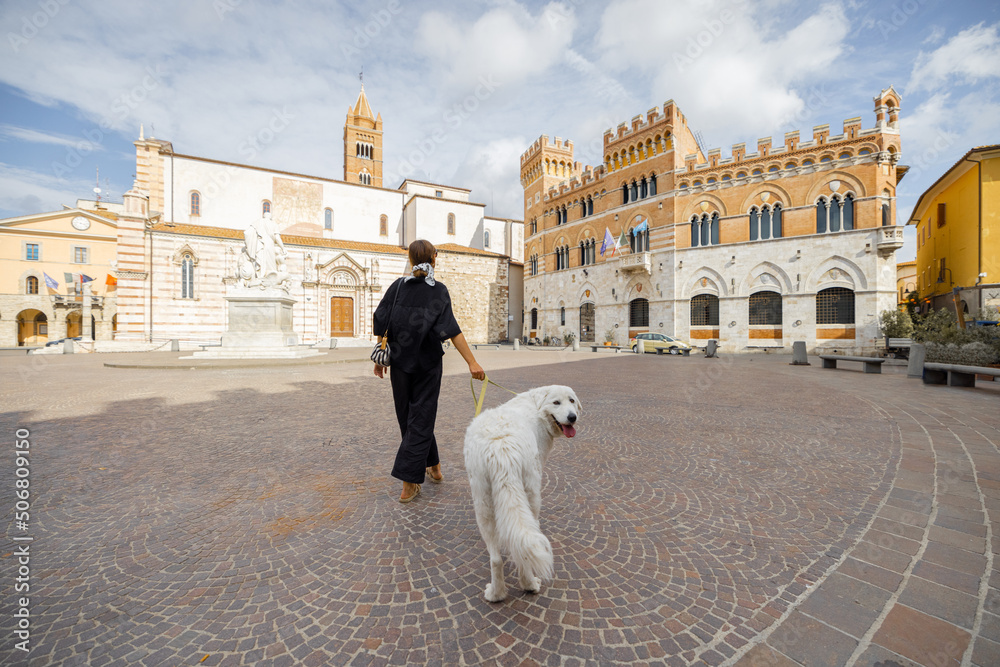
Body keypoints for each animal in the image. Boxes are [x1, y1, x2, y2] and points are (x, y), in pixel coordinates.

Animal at [460, 384, 580, 604]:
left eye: (572, 401)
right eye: (556, 402)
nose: (572, 417)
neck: (537, 406)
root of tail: (500, 448)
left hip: (482, 502)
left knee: (496, 558)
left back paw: (495, 594)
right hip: (531, 493)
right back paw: (530, 584)